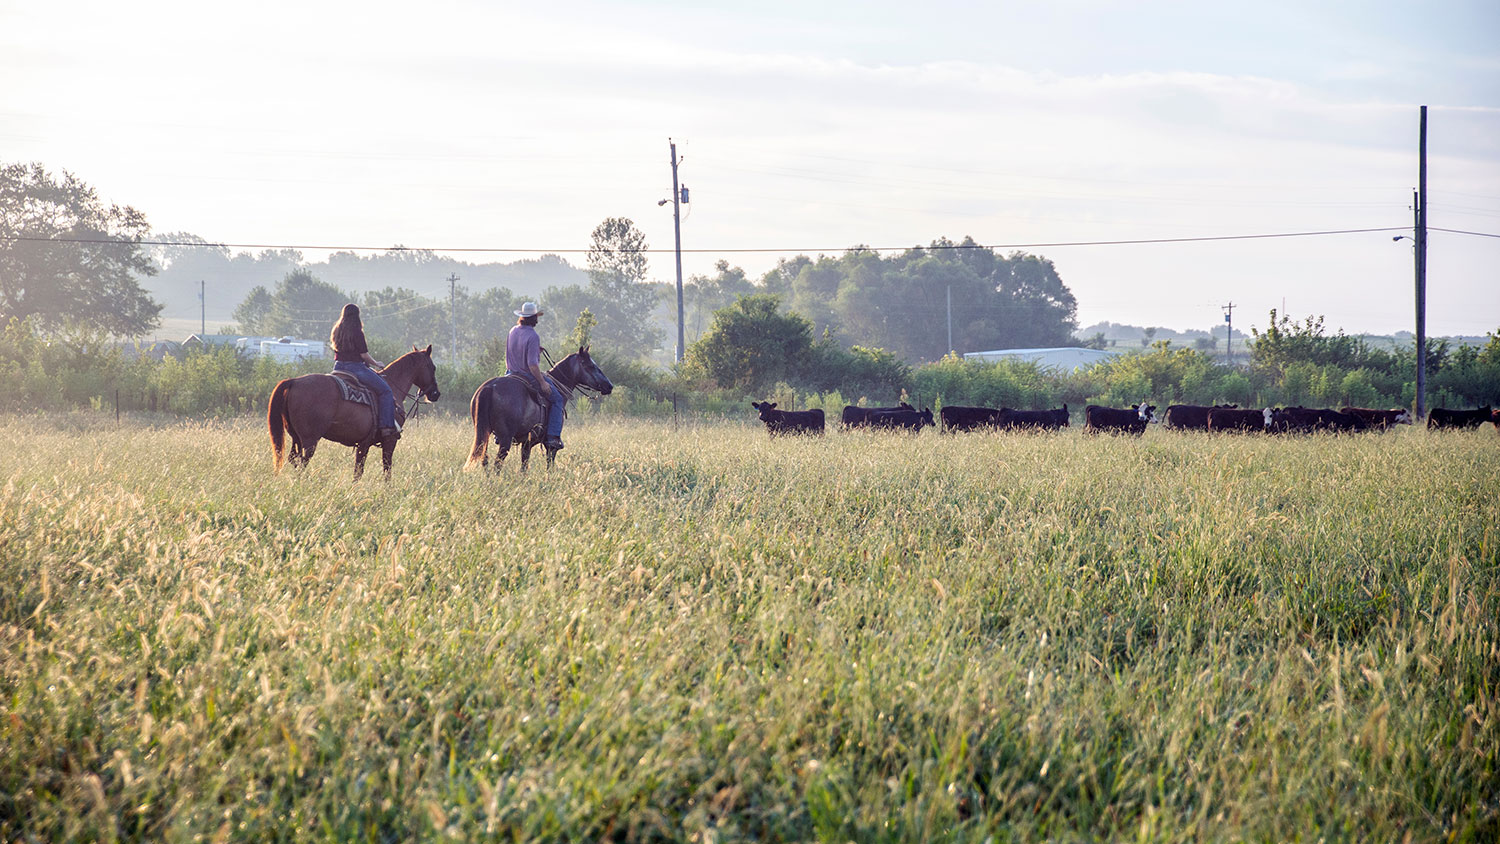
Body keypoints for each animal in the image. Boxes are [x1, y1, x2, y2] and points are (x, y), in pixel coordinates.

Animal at [268, 344, 441, 479]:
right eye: (432, 367)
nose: (435, 394)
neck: (393, 388)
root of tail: (293, 382)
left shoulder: (363, 443)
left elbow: (358, 471)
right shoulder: (390, 440)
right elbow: (386, 469)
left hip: (296, 437)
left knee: (293, 459)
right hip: (310, 440)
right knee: (303, 462)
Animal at [465, 344, 612, 476]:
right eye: (591, 366)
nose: (609, 385)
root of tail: (489, 387)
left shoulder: (527, 443)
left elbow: (524, 466)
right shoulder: (550, 445)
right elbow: (549, 464)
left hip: (485, 434)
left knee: (485, 459)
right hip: (505, 439)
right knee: (497, 463)